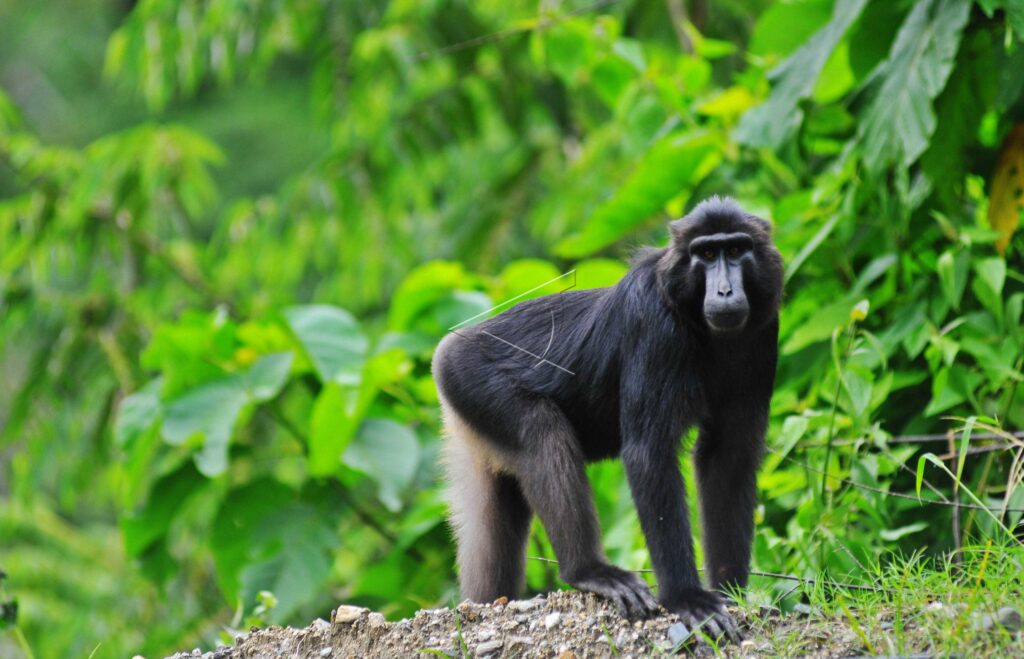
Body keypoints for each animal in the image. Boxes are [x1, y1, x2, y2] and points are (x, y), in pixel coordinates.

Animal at [431, 196, 783, 639]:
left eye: (736, 250)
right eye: (705, 254)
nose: (724, 290)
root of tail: (451, 346)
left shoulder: (763, 330)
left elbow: (729, 458)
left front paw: (732, 592)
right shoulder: (654, 321)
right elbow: (648, 453)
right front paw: (686, 598)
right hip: (467, 377)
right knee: (541, 432)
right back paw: (588, 571)